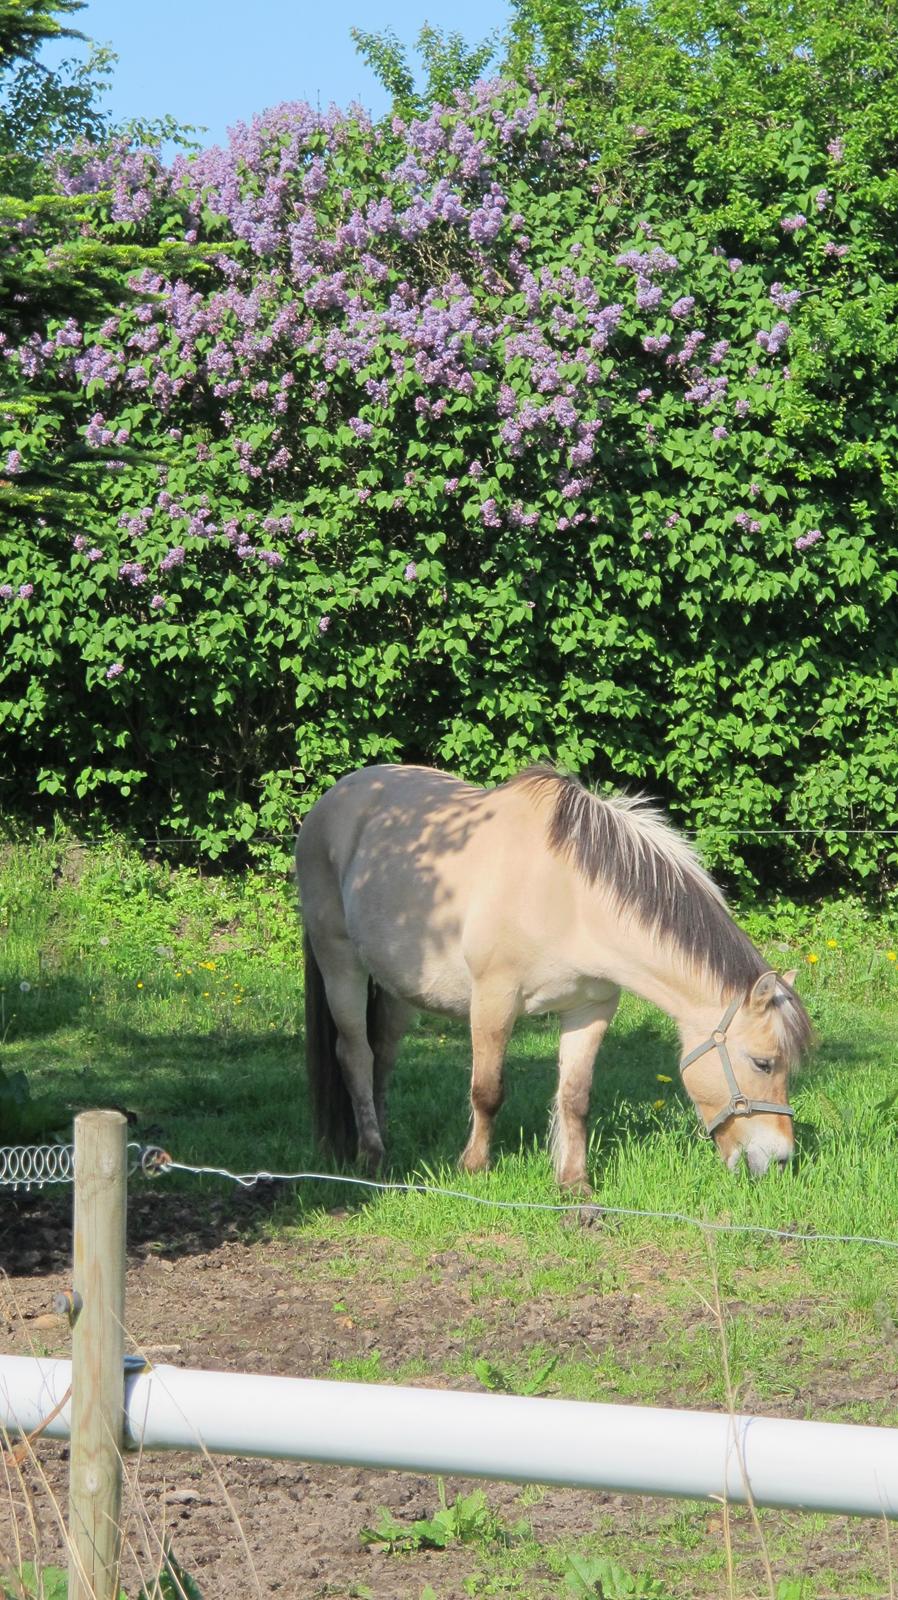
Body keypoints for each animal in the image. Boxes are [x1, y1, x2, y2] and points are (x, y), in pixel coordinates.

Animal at [296, 761, 813, 1190]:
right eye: (763, 1063)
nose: (780, 1159)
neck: (570, 898)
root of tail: (333, 798)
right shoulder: (493, 1001)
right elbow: (488, 1091)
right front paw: (474, 1167)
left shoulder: (590, 1009)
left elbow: (575, 1097)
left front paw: (574, 1183)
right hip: (340, 964)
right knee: (355, 1055)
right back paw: (371, 1154)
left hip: (397, 988)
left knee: (383, 1056)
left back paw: (384, 1136)